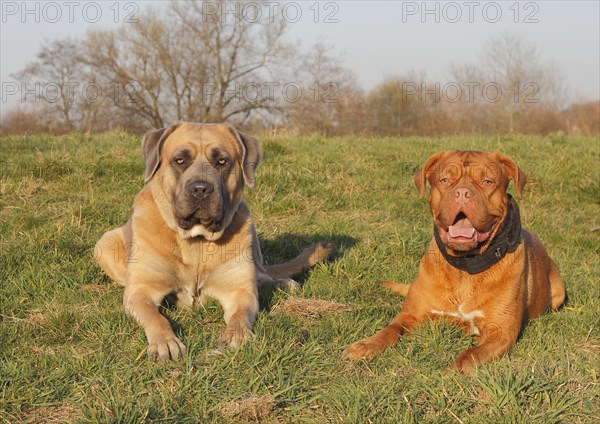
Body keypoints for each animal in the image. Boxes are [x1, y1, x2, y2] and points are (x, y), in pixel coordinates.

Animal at [344, 151, 564, 372]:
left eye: (487, 181)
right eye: (445, 180)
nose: (462, 193)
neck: (465, 266)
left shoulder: (500, 332)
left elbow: (469, 356)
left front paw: (450, 373)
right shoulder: (412, 315)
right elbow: (390, 329)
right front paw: (366, 345)